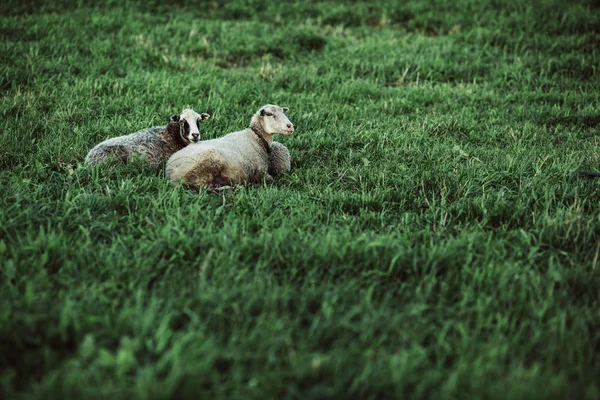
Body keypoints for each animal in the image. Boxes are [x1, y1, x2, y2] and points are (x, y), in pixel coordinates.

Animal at [165, 103, 294, 191]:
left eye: (283, 112)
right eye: (269, 114)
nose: (290, 126)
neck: (256, 137)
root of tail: (169, 169)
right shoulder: (261, 174)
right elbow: (270, 179)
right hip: (203, 166)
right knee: (201, 187)